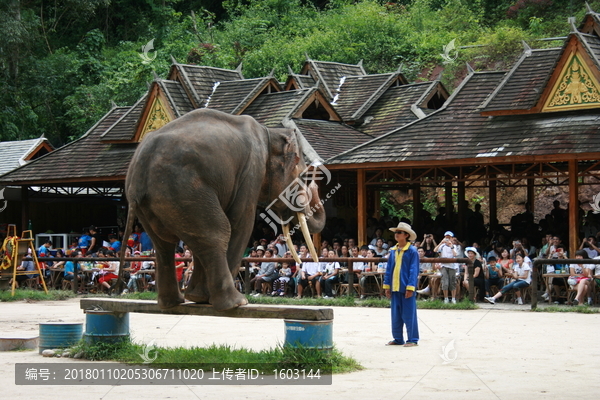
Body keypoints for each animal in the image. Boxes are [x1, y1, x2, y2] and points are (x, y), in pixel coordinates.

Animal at [120, 108, 326, 312]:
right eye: (303, 177)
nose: (316, 182)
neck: (270, 132)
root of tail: (138, 170)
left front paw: (198, 298)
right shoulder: (251, 172)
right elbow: (241, 222)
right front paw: (203, 298)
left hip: (161, 202)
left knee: (165, 244)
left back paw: (173, 302)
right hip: (183, 191)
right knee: (215, 233)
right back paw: (236, 302)